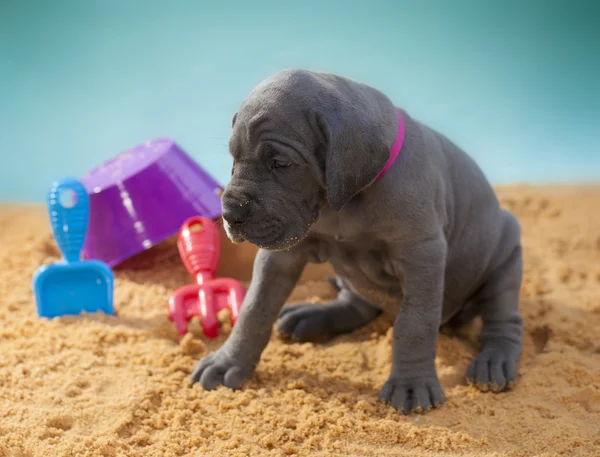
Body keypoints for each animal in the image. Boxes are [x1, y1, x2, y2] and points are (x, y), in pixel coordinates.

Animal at [190, 67, 524, 414]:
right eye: (233, 159)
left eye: (281, 163)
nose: (230, 214)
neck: (346, 202)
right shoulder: (281, 255)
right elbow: (254, 308)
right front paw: (228, 362)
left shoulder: (422, 254)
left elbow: (414, 324)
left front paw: (411, 385)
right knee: (357, 303)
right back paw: (312, 316)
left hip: (506, 256)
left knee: (505, 321)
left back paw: (494, 361)